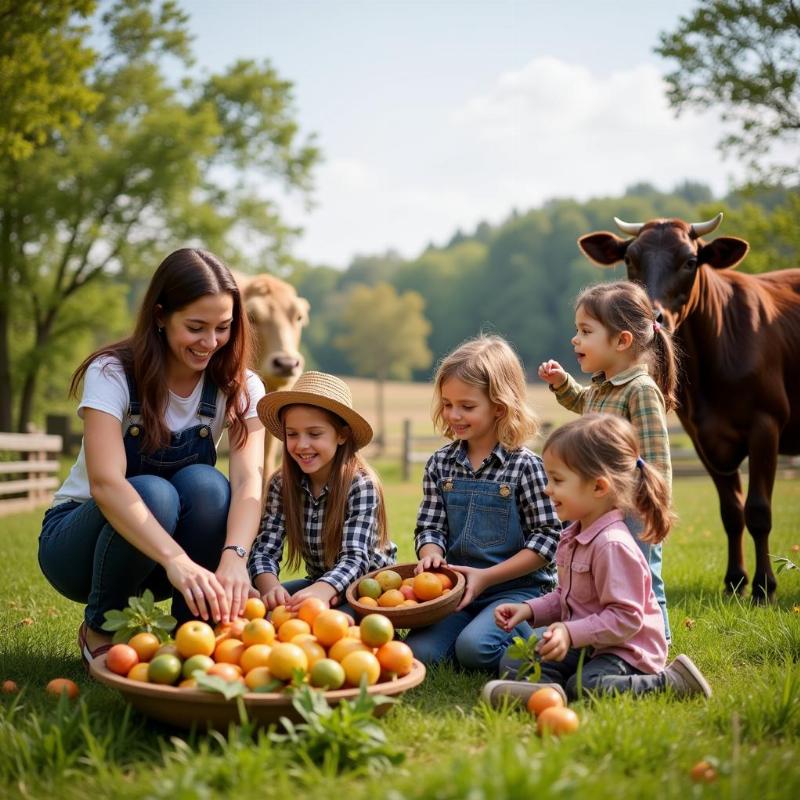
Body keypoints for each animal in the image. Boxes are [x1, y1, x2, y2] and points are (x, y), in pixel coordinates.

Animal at [576, 212, 800, 600]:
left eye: (691, 261)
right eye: (629, 259)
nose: (655, 317)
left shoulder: (766, 423)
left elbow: (758, 510)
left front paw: (763, 586)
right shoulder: (703, 436)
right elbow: (731, 511)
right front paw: (735, 580)